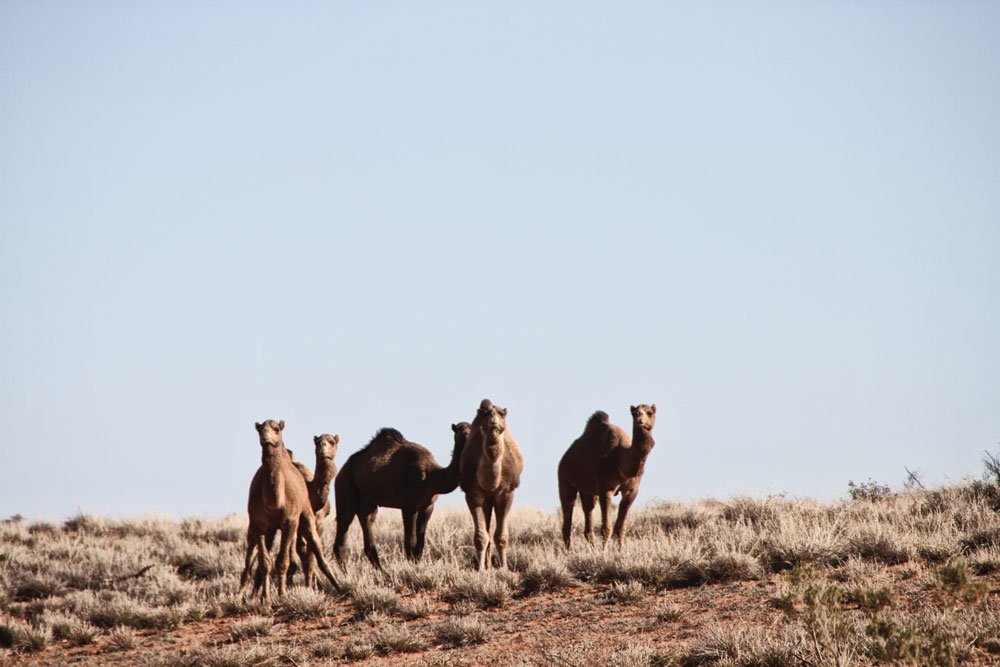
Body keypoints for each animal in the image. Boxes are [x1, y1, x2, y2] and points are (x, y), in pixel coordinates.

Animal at [239, 420, 344, 604]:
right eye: (318, 442)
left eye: (332, 442)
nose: (322, 448)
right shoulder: (263, 523)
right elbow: (274, 562)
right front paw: (271, 597)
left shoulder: (309, 522)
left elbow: (303, 559)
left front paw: (303, 589)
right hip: (262, 528)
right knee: (252, 557)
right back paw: (246, 596)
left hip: (294, 524)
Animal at [330, 422, 466, 568]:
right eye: (459, 430)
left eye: (470, 427)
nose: (467, 434)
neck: (431, 476)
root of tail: (342, 469)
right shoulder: (409, 506)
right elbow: (410, 542)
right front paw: (413, 568)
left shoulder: (428, 506)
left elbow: (420, 543)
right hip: (344, 485)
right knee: (343, 530)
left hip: (367, 503)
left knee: (367, 528)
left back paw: (381, 571)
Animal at [458, 400, 524, 572]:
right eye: (485, 414)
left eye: (502, 414)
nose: (494, 422)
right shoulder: (473, 494)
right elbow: (481, 536)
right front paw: (480, 569)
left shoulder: (507, 493)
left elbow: (501, 536)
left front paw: (504, 568)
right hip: (486, 500)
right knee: (486, 529)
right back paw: (486, 565)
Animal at [556, 404, 656, 552]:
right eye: (634, 413)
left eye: (650, 412)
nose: (639, 418)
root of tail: (566, 455)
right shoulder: (606, 490)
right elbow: (606, 528)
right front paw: (604, 552)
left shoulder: (631, 491)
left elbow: (620, 528)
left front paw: (621, 551)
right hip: (564, 479)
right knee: (567, 514)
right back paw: (569, 552)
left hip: (588, 490)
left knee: (588, 515)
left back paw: (591, 550)